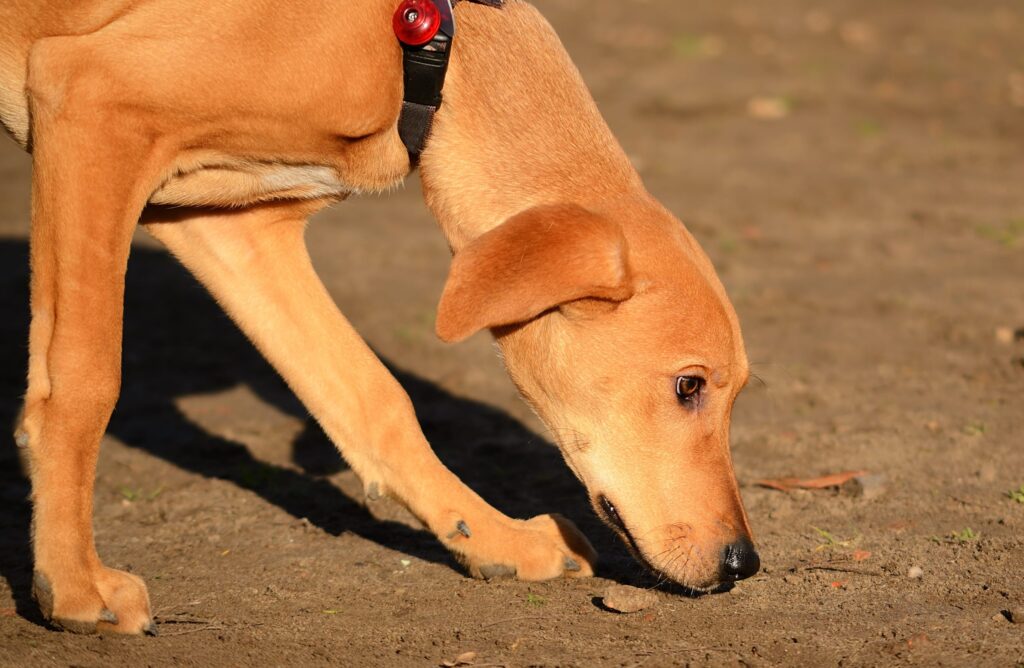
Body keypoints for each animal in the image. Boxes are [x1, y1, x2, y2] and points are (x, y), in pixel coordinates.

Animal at [2, 0, 761, 635]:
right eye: (688, 386)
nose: (744, 565)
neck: (424, 47)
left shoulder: (228, 225)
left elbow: (372, 396)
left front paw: (493, 539)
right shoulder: (90, 104)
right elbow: (84, 381)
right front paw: (74, 586)